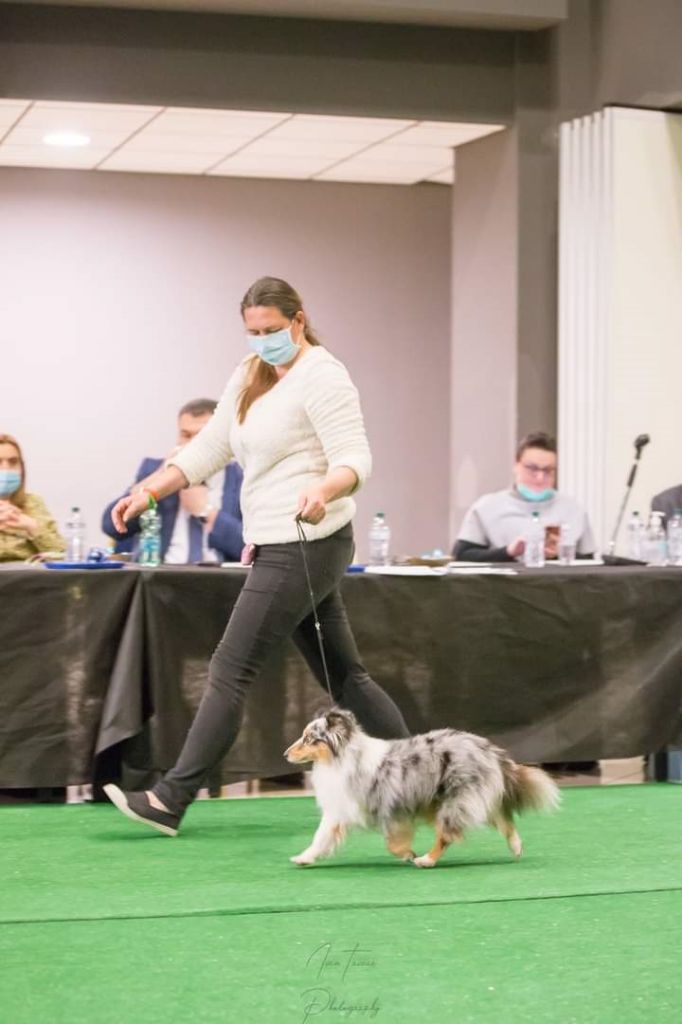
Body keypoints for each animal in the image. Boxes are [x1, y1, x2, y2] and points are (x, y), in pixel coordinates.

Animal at [284, 712, 557, 864]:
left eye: (309, 739)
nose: (285, 753)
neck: (341, 758)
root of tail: (488, 749)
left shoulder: (392, 811)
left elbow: (392, 843)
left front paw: (408, 854)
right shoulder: (339, 812)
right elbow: (320, 838)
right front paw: (304, 858)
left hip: (456, 802)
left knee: (447, 835)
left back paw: (426, 860)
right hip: (472, 799)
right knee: (503, 820)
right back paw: (516, 847)